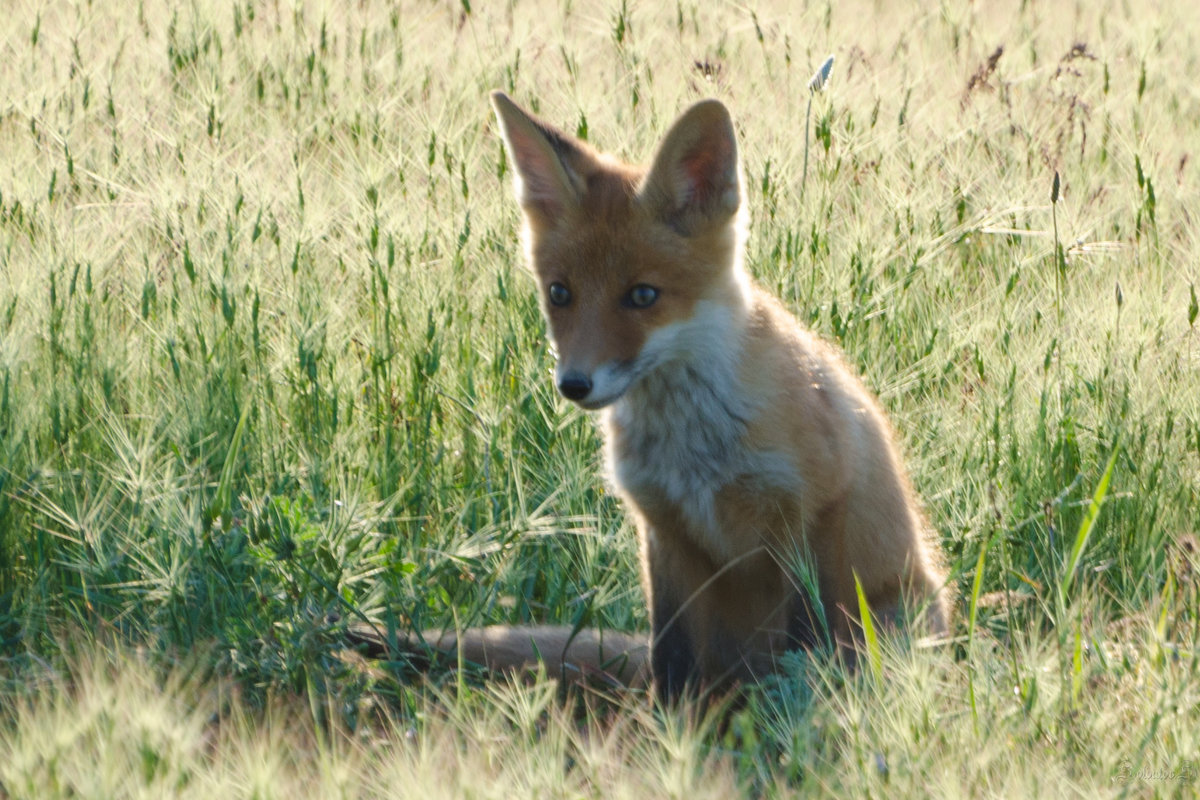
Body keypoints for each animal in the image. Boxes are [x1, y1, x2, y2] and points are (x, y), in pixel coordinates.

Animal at [355, 89, 945, 700]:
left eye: (642, 295)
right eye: (559, 293)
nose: (574, 384)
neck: (696, 447)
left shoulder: (809, 518)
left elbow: (807, 651)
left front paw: (803, 711)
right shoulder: (663, 531)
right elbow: (672, 660)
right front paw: (670, 725)